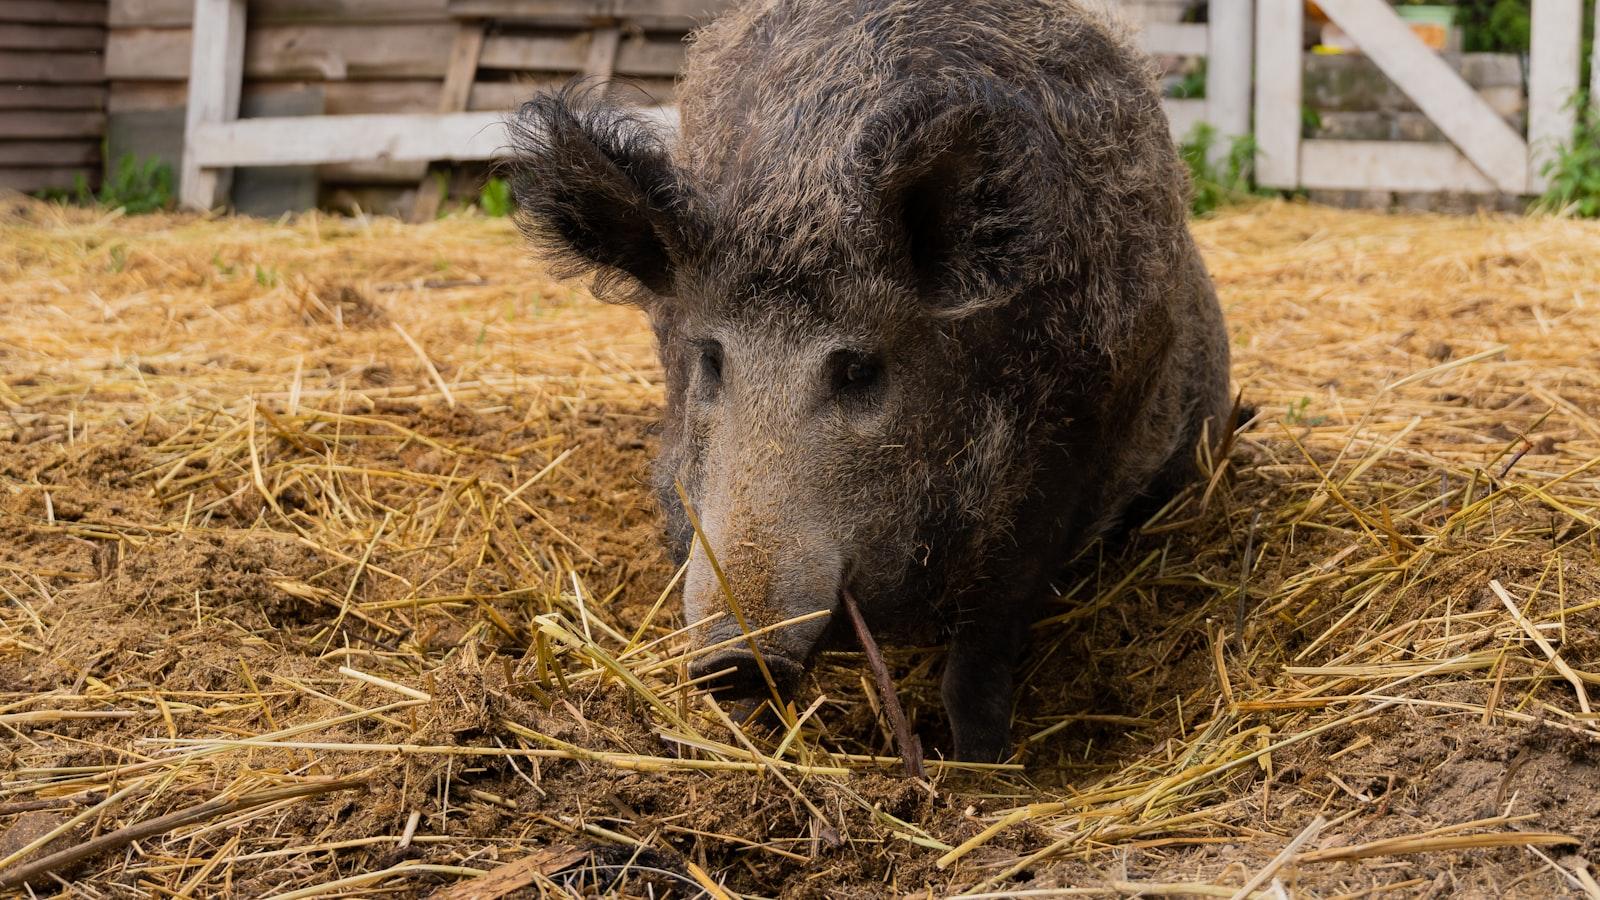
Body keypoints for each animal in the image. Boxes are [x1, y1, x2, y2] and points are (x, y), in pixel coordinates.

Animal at [505, 0, 1228, 755]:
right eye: (709, 358)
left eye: (858, 368)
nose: (737, 656)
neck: (799, 187)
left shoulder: (1065, 458)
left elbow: (982, 654)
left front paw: (979, 765)